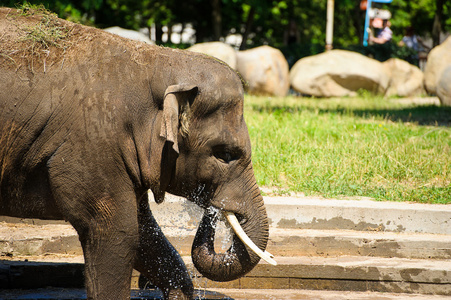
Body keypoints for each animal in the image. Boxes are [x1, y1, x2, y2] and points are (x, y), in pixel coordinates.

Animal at [0, 7, 276, 300]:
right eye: (224, 155)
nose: (214, 211)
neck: (156, 62)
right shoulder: (95, 146)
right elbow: (120, 231)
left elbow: (145, 234)